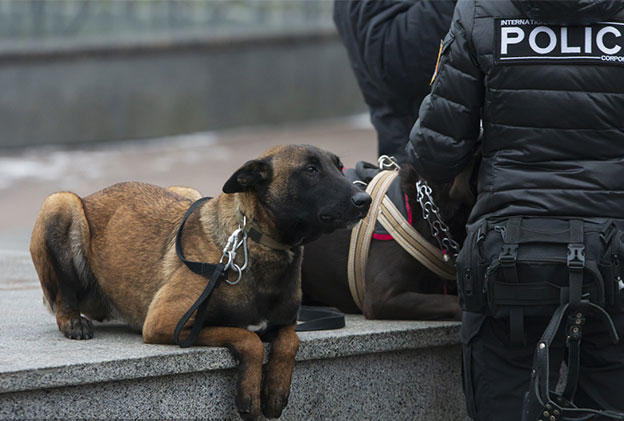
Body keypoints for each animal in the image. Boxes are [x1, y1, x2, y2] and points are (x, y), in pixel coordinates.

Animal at [29, 144, 370, 416]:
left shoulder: (286, 323)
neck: (256, 242)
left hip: (186, 191)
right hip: (59, 203)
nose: (364, 199)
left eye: (338, 166)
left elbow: (289, 341)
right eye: (310, 169)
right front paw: (250, 391)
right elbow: (248, 338)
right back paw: (73, 321)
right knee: (64, 298)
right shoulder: (167, 322)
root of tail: (94, 194)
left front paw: (275, 389)